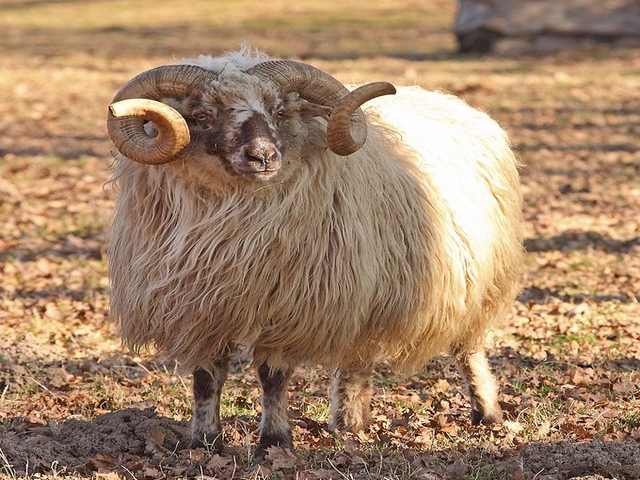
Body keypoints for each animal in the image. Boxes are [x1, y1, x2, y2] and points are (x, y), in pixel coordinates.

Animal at [106, 46, 523, 456]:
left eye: (278, 111)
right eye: (201, 114)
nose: (263, 157)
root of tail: (448, 100)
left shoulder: (290, 306)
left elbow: (272, 376)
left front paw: (274, 443)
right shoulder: (201, 306)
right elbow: (207, 377)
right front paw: (205, 442)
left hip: (477, 282)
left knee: (469, 347)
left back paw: (486, 412)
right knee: (358, 356)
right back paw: (349, 422)